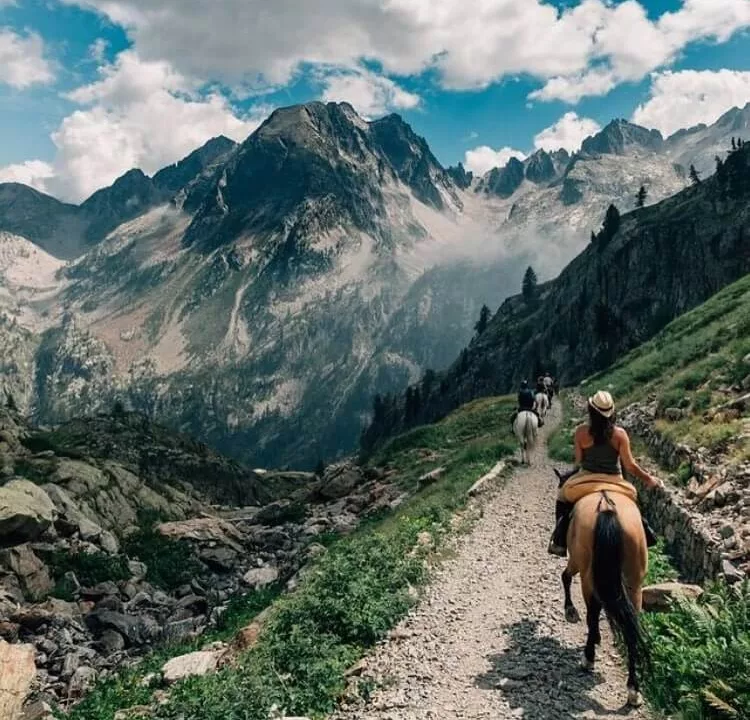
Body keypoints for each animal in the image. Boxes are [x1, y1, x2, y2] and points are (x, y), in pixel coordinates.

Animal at [560, 466, 652, 708]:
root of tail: (606, 507)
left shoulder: (577, 564)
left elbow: (565, 577)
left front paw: (571, 611)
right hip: (634, 580)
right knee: (631, 626)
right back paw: (633, 689)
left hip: (586, 572)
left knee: (592, 612)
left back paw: (588, 658)